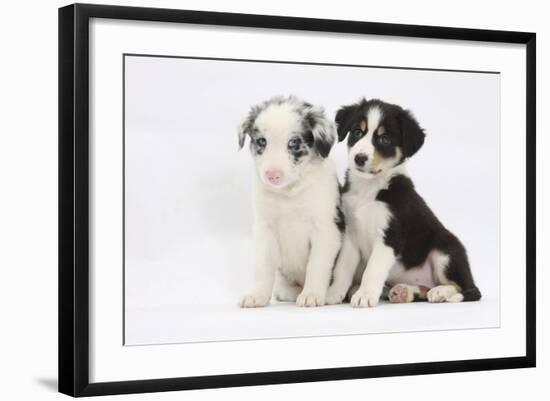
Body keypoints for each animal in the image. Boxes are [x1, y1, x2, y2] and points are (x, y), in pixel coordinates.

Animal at [238, 96, 342, 306]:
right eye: (262, 141)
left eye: (294, 142)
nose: (272, 175)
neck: (289, 193)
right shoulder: (265, 228)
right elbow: (262, 266)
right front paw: (257, 295)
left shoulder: (325, 230)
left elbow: (316, 266)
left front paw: (311, 294)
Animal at [328, 97, 484, 306]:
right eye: (357, 132)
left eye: (385, 139)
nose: (359, 158)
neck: (369, 189)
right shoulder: (351, 234)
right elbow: (342, 269)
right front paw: (333, 293)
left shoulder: (390, 236)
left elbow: (372, 269)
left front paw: (365, 295)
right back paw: (405, 292)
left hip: (445, 250)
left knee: (467, 289)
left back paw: (440, 292)